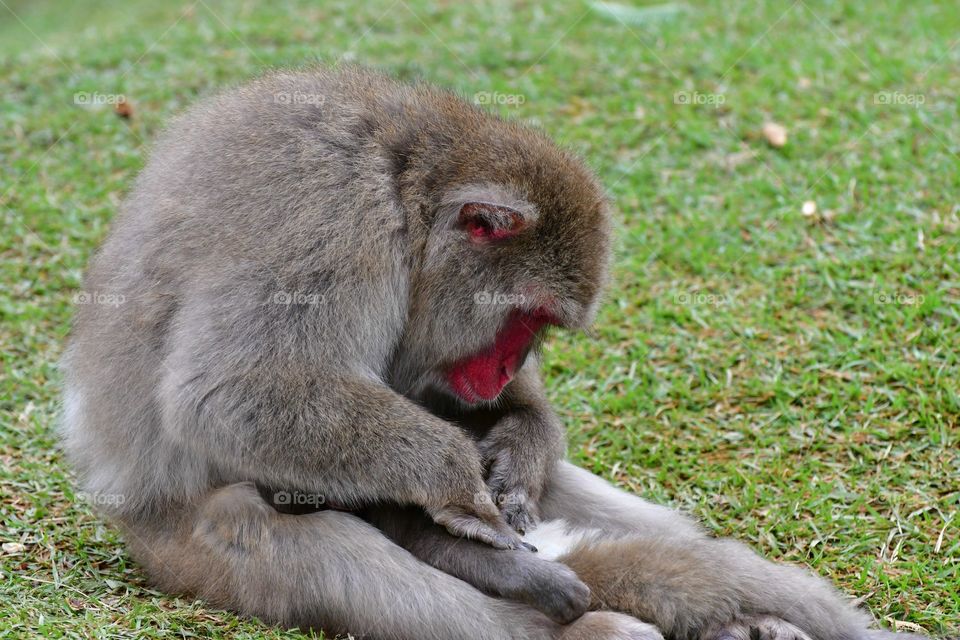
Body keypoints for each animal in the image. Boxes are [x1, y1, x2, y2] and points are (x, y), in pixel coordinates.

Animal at [62, 66, 916, 640]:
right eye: (526, 318)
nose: (508, 367)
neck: (406, 191)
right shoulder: (330, 219)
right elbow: (232, 394)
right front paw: (454, 480)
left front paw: (522, 438)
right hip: (186, 546)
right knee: (290, 534)